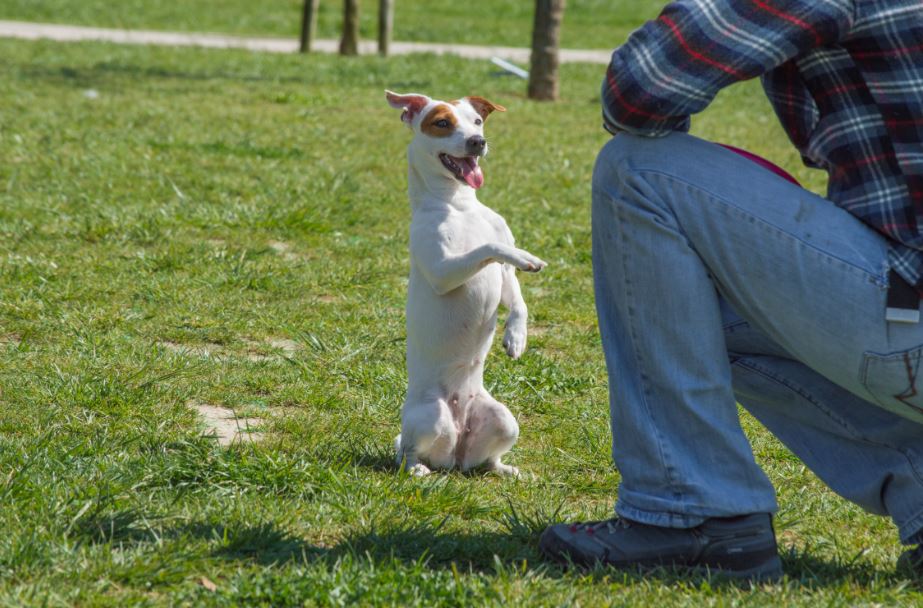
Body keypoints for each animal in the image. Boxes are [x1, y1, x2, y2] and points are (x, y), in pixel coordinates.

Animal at [384, 91, 544, 480]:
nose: (477, 142)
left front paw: (516, 336)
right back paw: (417, 469)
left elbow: (517, 297)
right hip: (429, 416)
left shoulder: (505, 278)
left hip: (504, 420)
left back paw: (507, 470)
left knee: (488, 460)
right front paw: (524, 255)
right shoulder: (444, 270)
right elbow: (490, 248)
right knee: (408, 451)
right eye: (442, 123)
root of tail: (455, 454)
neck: (458, 206)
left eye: (477, 121)